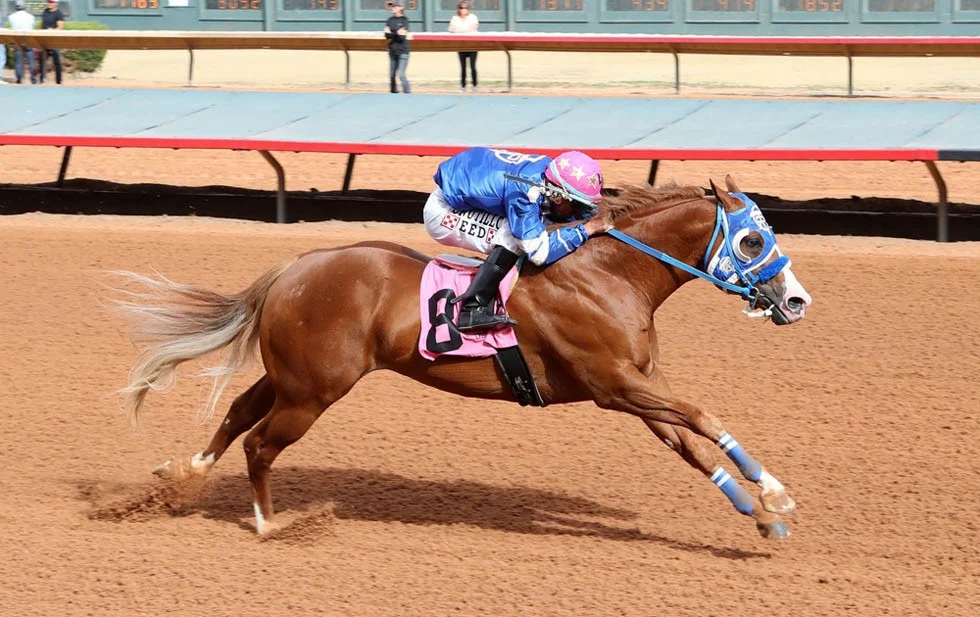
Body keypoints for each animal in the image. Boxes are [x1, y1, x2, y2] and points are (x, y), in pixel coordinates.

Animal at [113, 175, 812, 540]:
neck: (607, 274)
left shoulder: (635, 383)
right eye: (752, 241)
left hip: (291, 375)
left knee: (237, 413)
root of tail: (293, 267)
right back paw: (268, 525)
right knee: (260, 443)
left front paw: (758, 514)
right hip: (314, 391)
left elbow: (689, 443)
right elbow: (702, 416)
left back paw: (185, 476)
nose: (797, 300)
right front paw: (777, 494)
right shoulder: (614, 384)